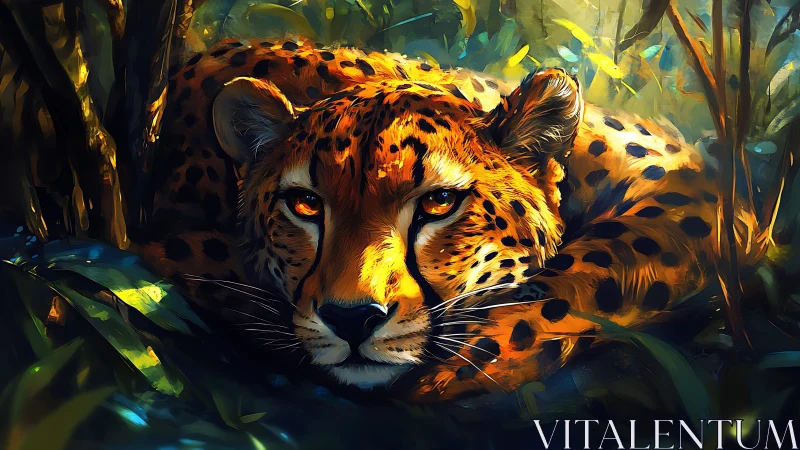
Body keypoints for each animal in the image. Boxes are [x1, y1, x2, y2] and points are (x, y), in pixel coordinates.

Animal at [132, 37, 766, 402]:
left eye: (438, 204)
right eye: (306, 205)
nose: (353, 319)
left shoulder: (685, 178)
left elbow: (591, 270)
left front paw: (467, 360)